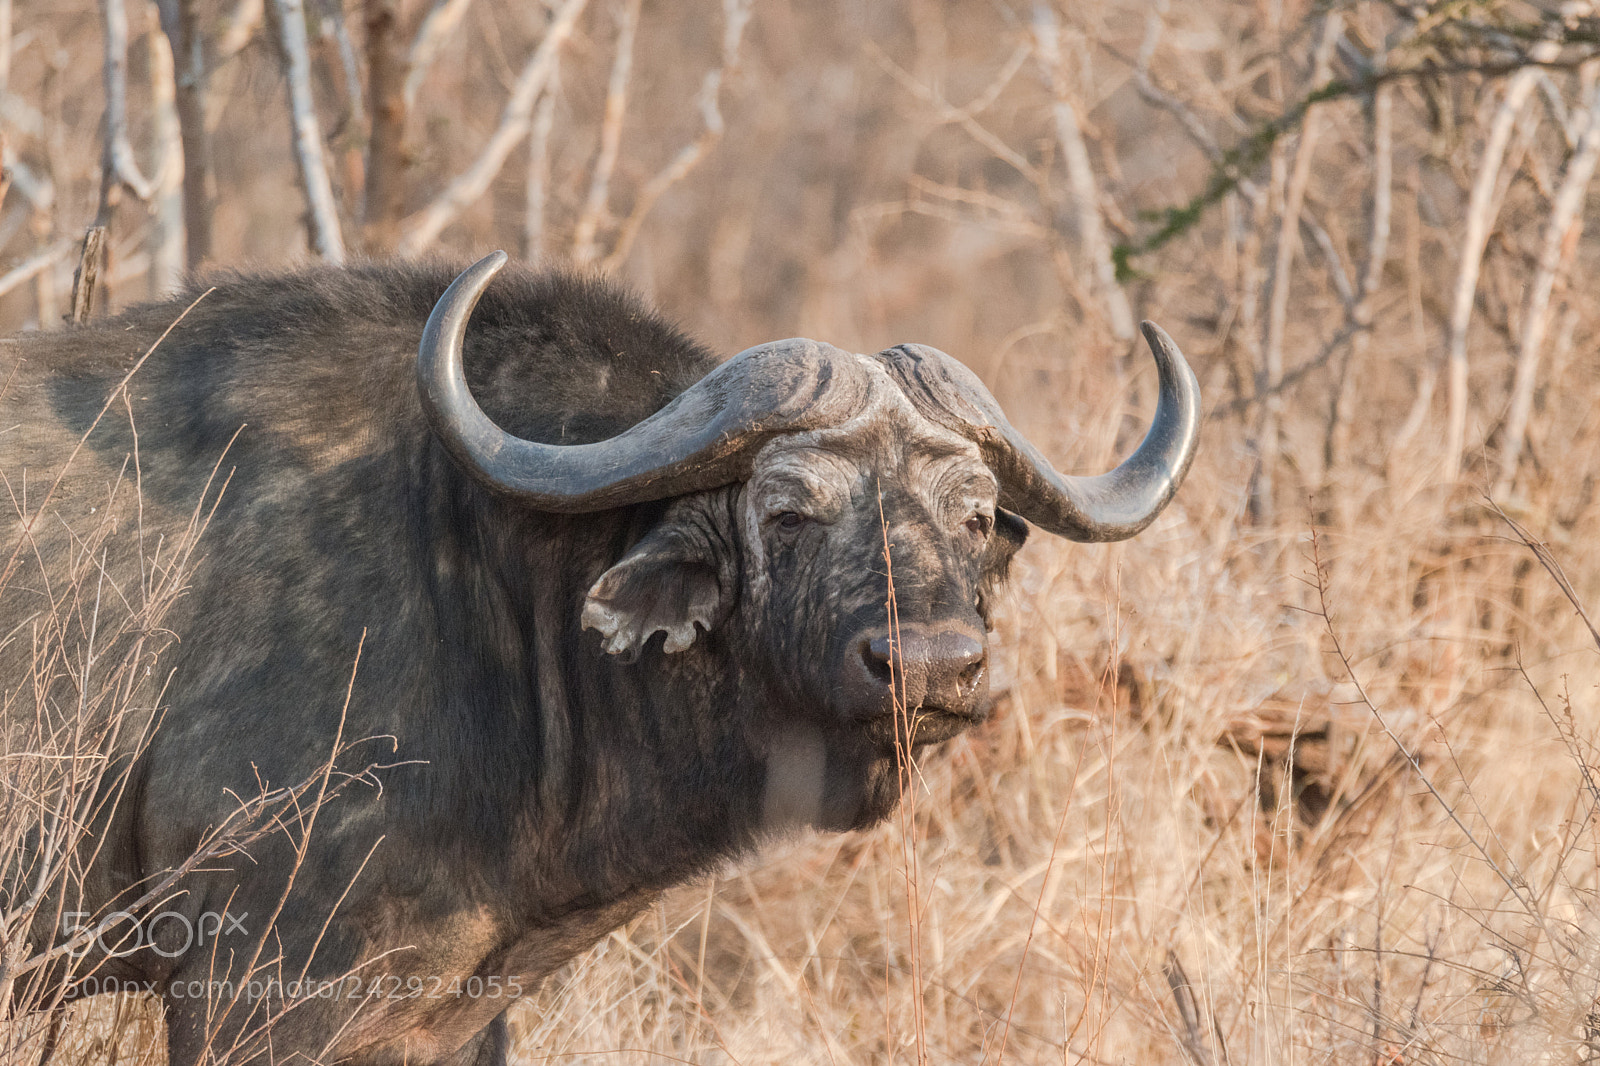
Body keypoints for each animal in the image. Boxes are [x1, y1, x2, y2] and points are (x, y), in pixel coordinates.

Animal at [0, 251, 1199, 1064]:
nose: (935, 664)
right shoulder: (257, 989)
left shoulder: (442, 1016)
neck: (483, 571)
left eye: (974, 513)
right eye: (789, 511)